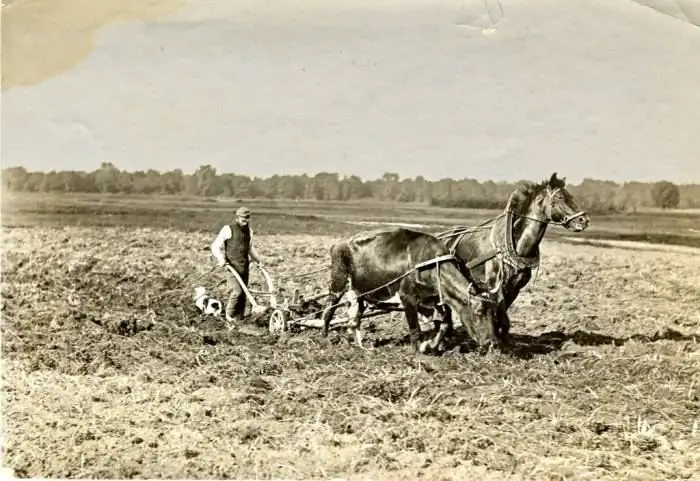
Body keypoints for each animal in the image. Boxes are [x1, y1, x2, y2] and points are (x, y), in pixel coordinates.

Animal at [438, 172, 592, 342]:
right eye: (559, 197)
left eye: (571, 196)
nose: (584, 220)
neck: (513, 245)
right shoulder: (494, 286)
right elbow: (499, 316)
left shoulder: (515, 288)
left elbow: (503, 320)